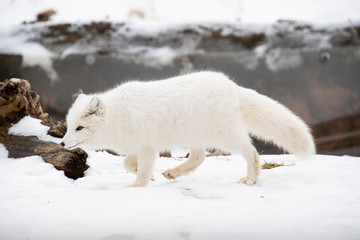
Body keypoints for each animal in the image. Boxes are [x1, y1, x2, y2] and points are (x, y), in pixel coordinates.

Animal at [62, 71, 316, 188]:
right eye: (68, 126)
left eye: (80, 127)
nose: (63, 143)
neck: (117, 116)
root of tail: (232, 86)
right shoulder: (138, 146)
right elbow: (127, 164)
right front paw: (149, 176)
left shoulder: (146, 146)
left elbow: (141, 170)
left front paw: (136, 187)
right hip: (194, 136)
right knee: (199, 157)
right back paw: (173, 173)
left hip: (224, 136)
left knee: (251, 152)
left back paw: (250, 180)